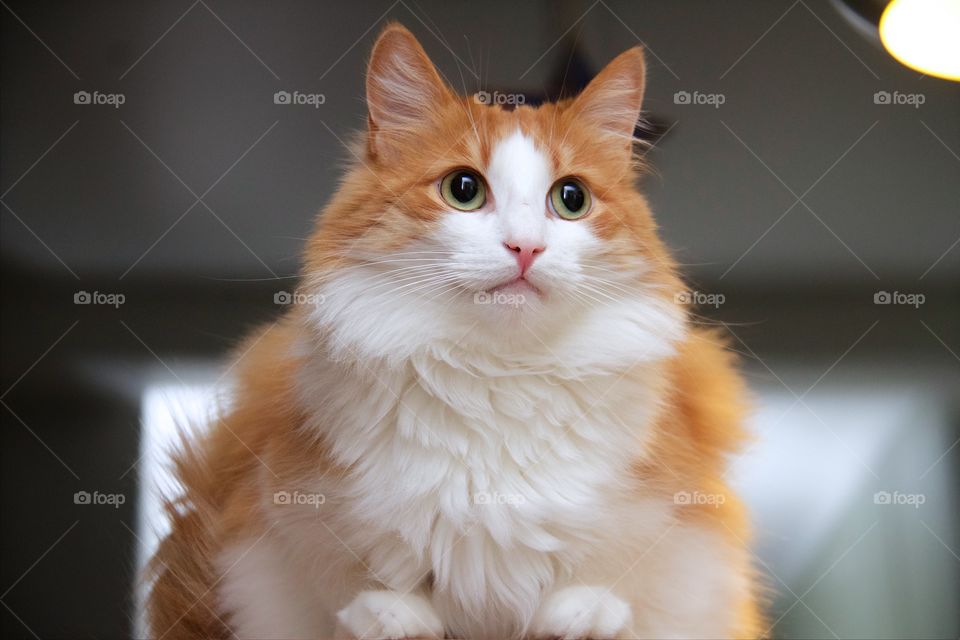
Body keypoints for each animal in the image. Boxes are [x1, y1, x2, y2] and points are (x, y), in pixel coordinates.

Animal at [146, 22, 764, 640]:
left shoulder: (690, 540)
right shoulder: (267, 534)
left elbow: (623, 584)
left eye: (572, 199)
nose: (525, 247)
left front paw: (584, 610)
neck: (500, 375)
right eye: (463, 189)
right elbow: (343, 590)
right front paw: (389, 614)